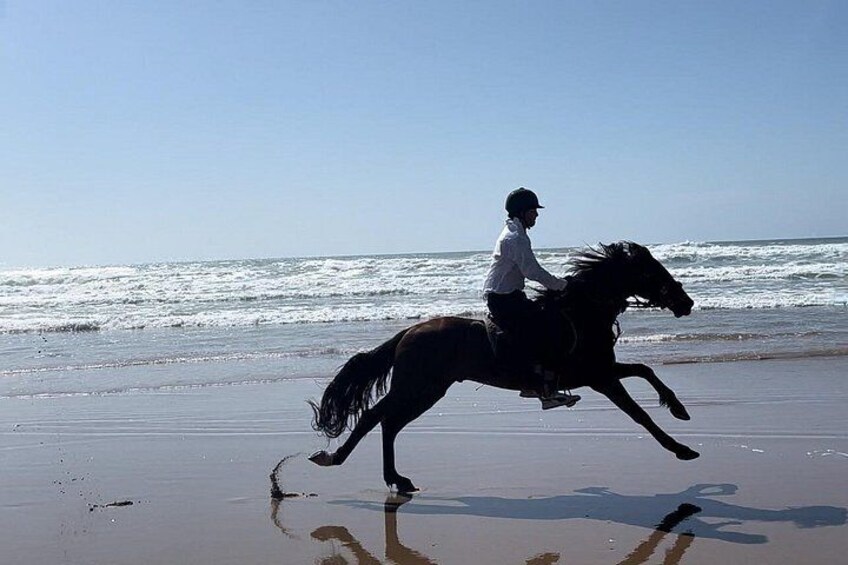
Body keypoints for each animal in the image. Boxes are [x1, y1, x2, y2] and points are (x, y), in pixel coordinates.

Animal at [308, 241, 698, 493]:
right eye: (651, 271)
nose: (686, 303)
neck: (581, 312)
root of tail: (408, 332)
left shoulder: (602, 371)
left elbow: (646, 370)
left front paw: (679, 410)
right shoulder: (598, 377)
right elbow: (639, 414)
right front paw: (682, 448)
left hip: (428, 391)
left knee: (389, 423)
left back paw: (397, 480)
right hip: (416, 387)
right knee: (375, 417)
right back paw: (336, 458)